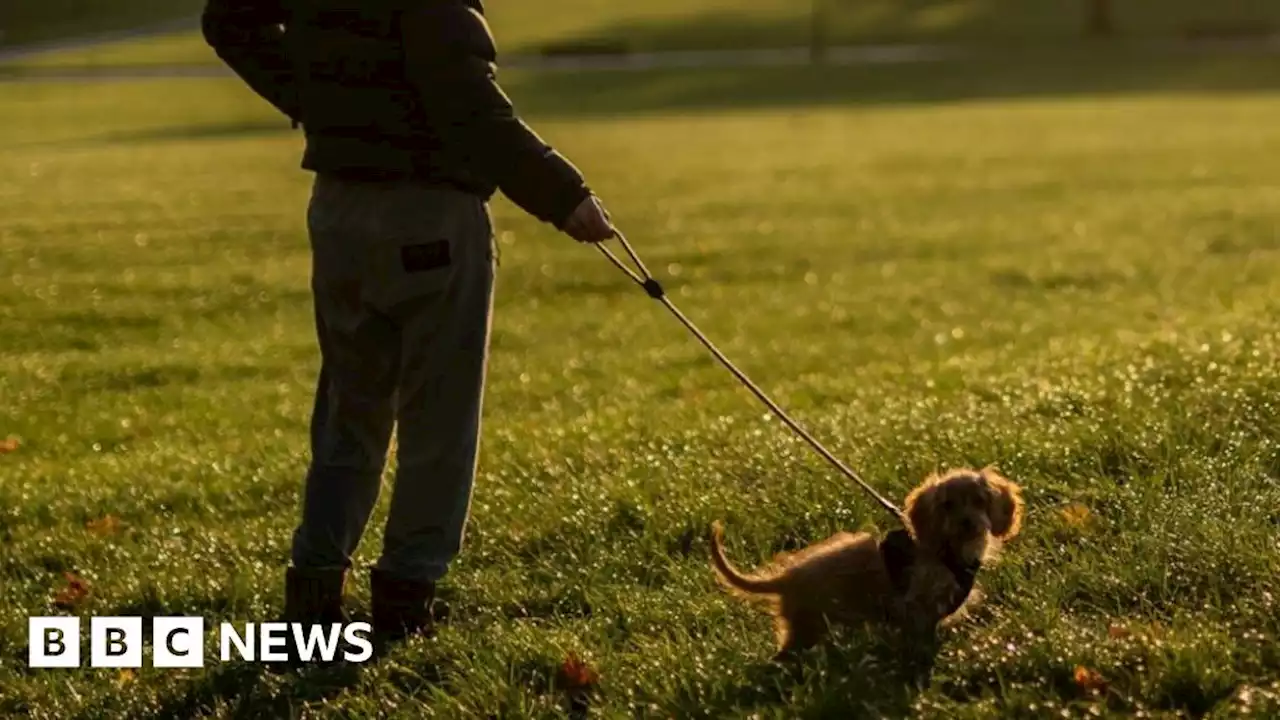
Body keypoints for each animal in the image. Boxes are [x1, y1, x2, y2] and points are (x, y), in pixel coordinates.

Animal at [711, 466, 1018, 655]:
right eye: (947, 505)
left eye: (979, 501)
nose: (967, 522)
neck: (946, 550)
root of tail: (785, 578)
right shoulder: (916, 607)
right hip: (805, 630)